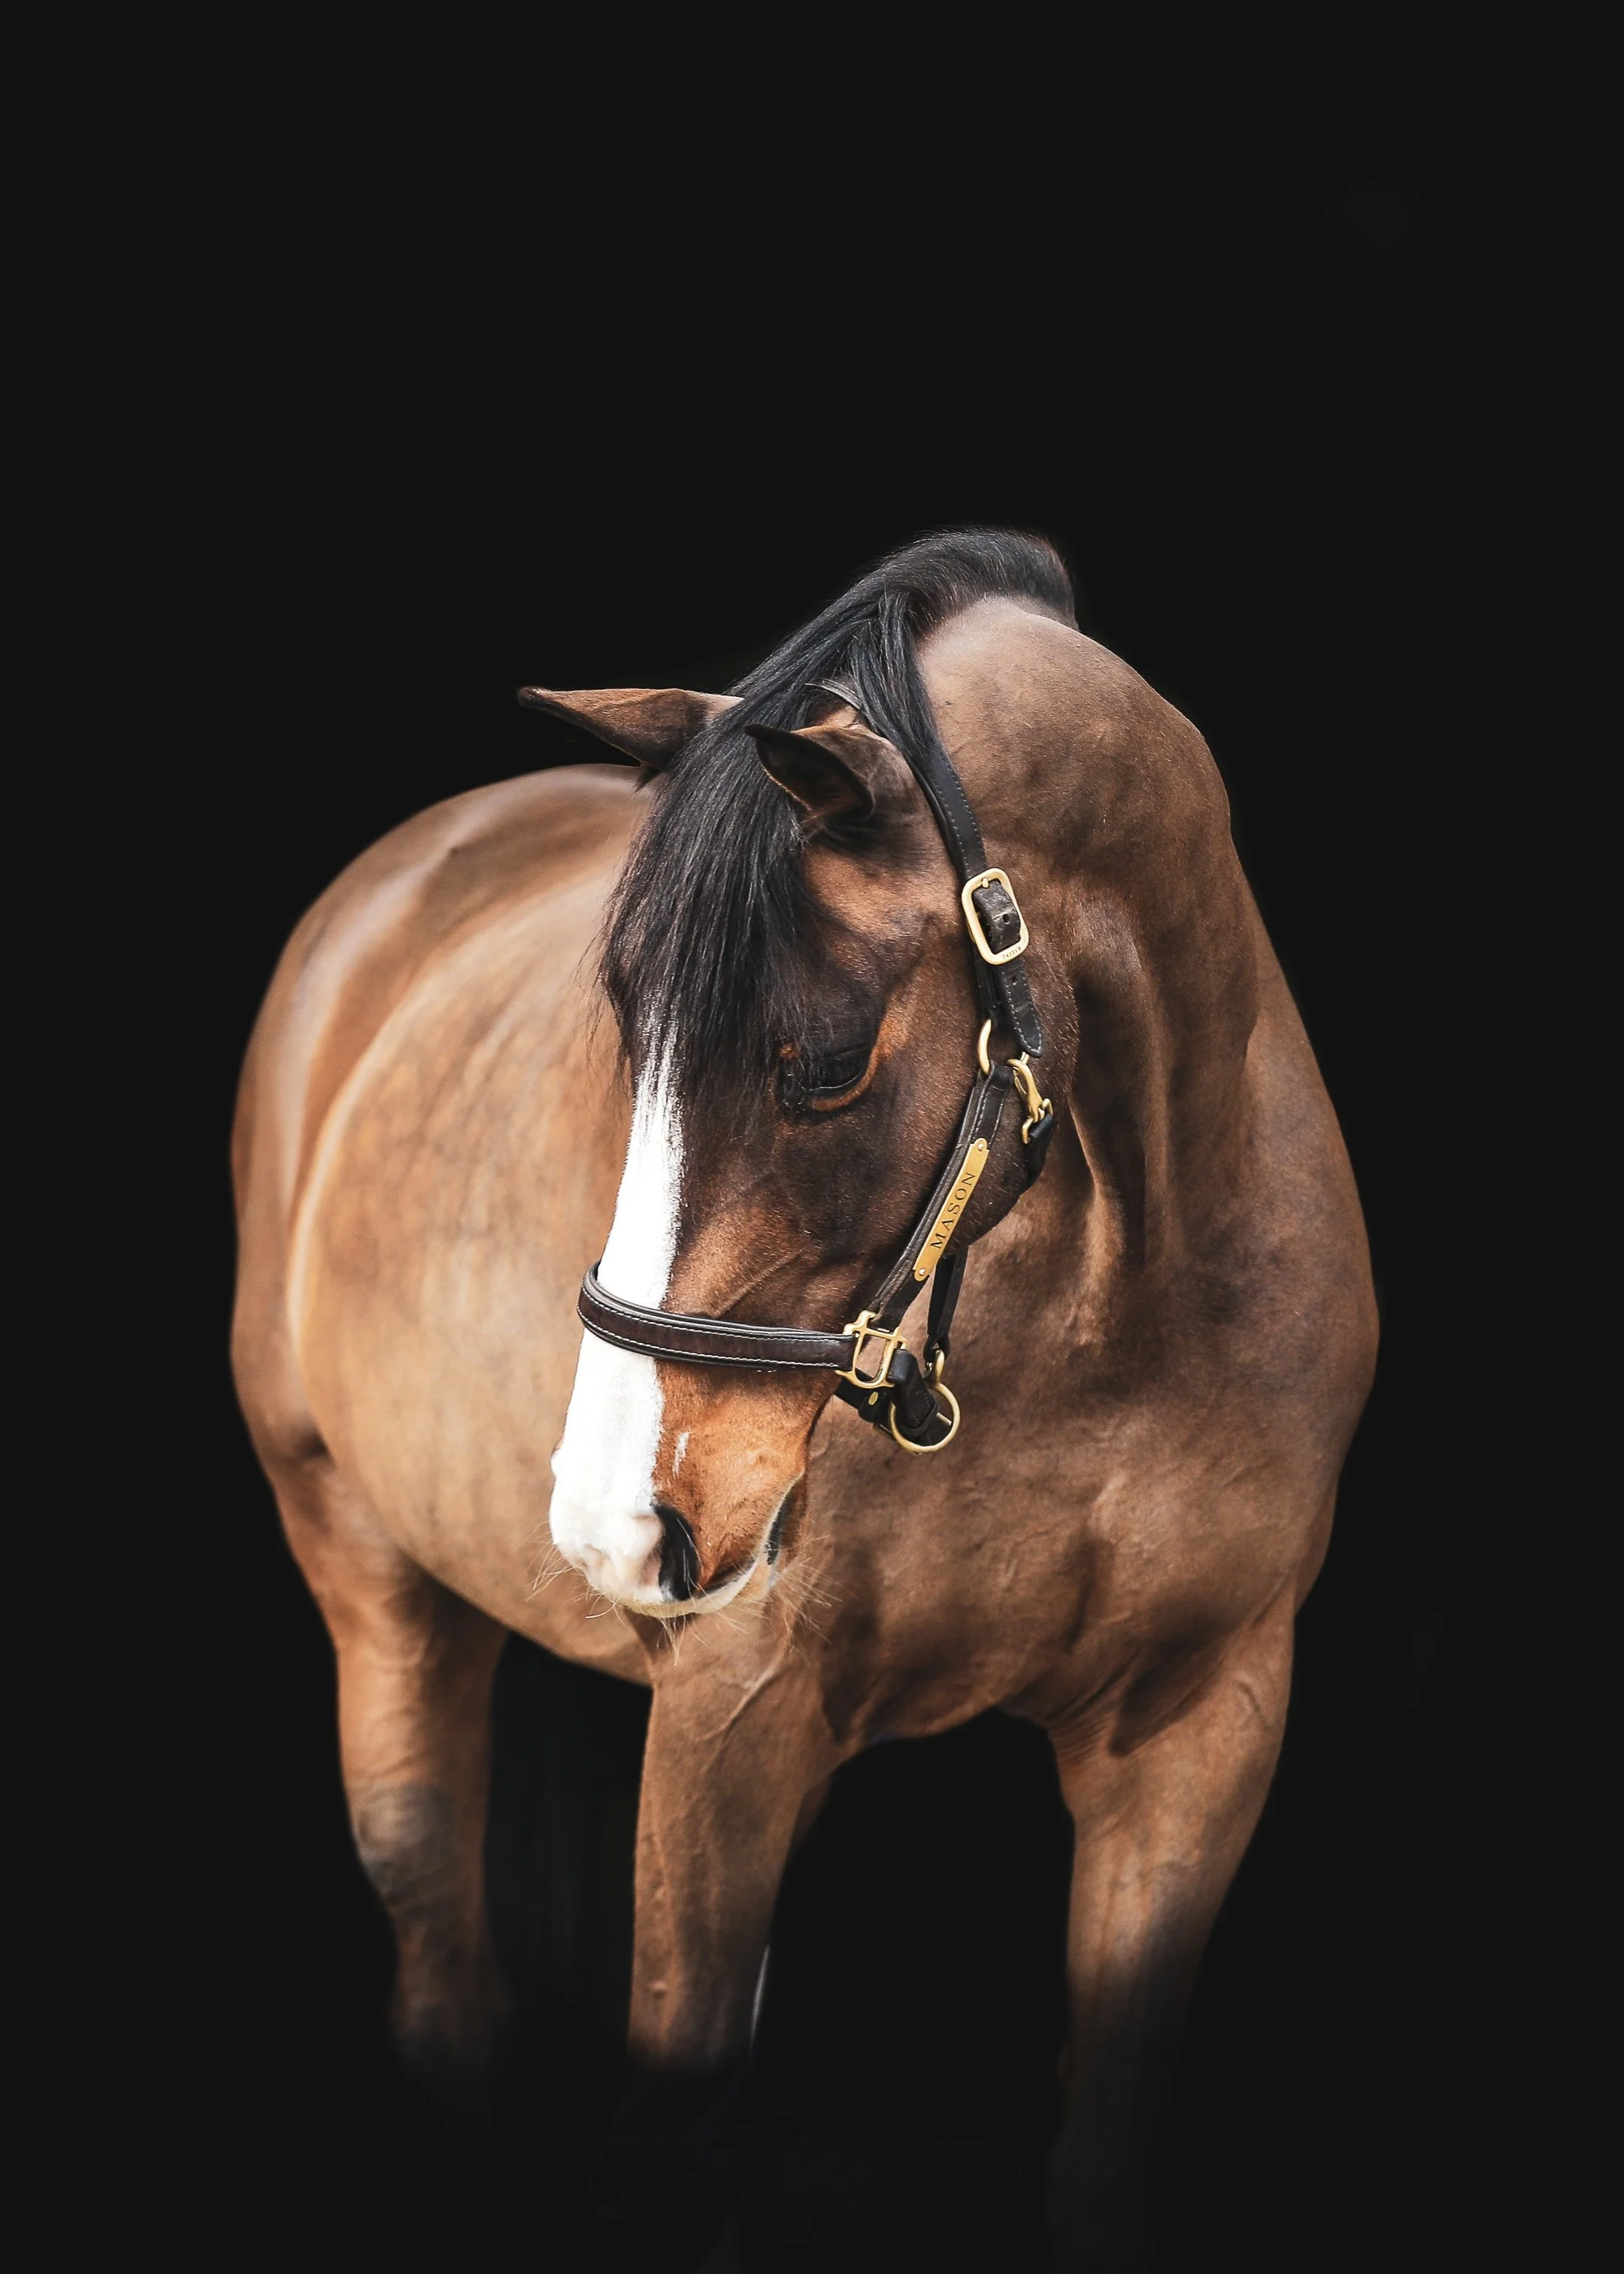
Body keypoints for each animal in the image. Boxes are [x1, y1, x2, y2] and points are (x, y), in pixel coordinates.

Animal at [231, 529, 1376, 2268]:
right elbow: (670, 2131)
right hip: (362, 1558)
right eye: (624, 1039)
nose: (613, 1520)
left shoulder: (1203, 1719)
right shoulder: (738, 1707)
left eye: (824, 1061)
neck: (1115, 1309)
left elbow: (1106, 2147)